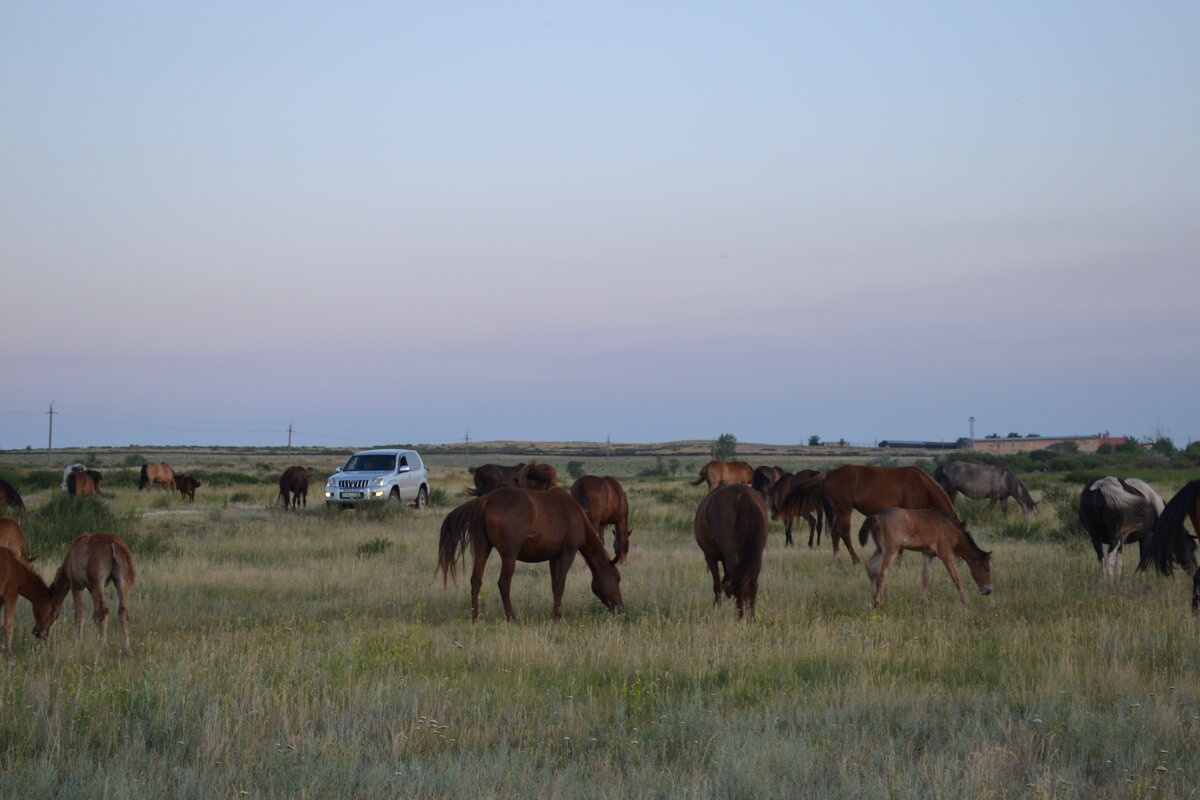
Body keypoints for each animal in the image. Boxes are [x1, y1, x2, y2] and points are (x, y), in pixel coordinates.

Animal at [434, 484, 619, 623]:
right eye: (618, 578)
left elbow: (555, 585)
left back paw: (475, 618)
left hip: (482, 549)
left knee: (475, 581)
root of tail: (486, 500)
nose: (620, 607)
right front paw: (558, 617)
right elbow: (560, 585)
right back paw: (511, 617)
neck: (576, 516)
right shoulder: (568, 552)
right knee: (503, 583)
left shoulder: (554, 557)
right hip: (509, 557)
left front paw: (555, 614)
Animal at [696, 484, 768, 623]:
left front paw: (716, 609)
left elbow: (717, 585)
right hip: (756, 556)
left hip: (731, 555)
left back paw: (741, 618)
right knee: (752, 584)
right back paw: (752, 618)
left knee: (739, 583)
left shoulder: (709, 557)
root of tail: (742, 495)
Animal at [782, 462, 960, 563]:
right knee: (844, 533)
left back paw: (836, 559)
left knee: (835, 533)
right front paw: (898, 562)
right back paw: (855, 559)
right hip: (845, 510)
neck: (921, 484)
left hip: (838, 511)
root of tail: (828, 474)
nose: (958, 560)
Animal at [864, 510, 993, 609]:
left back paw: (874, 601)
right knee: (881, 571)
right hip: (891, 550)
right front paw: (967, 605)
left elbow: (926, 579)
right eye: (987, 569)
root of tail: (877, 517)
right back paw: (880, 603)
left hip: (880, 549)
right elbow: (957, 578)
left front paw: (924, 604)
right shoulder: (946, 554)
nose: (988, 591)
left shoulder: (927, 555)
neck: (951, 529)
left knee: (870, 566)